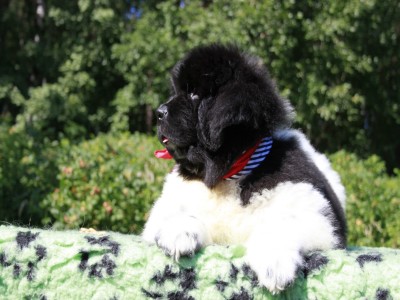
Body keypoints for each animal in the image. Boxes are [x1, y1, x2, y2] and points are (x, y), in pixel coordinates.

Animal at [142, 44, 346, 292]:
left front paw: (274, 262)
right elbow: (176, 213)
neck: (227, 175)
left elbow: (282, 223)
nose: (159, 112)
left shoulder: (319, 216)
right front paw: (179, 229)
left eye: (194, 94)